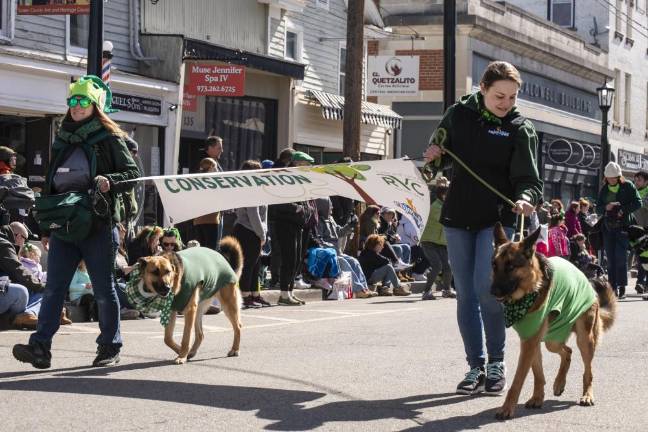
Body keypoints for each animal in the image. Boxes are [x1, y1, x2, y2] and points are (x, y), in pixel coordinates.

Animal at [494, 224, 616, 420]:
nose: (493, 291)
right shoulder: (530, 340)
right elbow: (538, 374)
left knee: (588, 371)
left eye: (511, 266)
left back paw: (587, 395)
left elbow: (518, 380)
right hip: (552, 339)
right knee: (567, 351)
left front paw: (507, 408)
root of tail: (585, 276)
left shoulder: (529, 343)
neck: (530, 291)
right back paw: (559, 383)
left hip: (584, 338)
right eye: (494, 265)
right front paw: (537, 398)